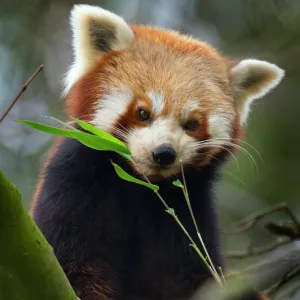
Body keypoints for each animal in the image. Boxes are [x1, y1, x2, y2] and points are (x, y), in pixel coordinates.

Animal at [30, 4, 284, 300]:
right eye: (143, 113)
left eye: (192, 124)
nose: (164, 153)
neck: (140, 186)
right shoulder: (74, 186)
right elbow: (73, 264)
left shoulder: (186, 212)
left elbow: (190, 276)